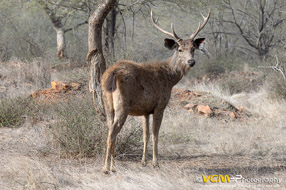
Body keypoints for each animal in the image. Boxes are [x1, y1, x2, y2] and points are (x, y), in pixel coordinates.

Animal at [101, 10, 210, 174]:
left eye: (193, 48)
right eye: (179, 49)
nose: (191, 62)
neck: (170, 78)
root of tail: (112, 73)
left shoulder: (145, 110)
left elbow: (145, 135)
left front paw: (144, 162)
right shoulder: (160, 105)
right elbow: (155, 134)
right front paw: (155, 163)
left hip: (108, 104)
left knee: (109, 129)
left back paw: (113, 166)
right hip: (123, 105)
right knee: (112, 133)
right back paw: (106, 168)